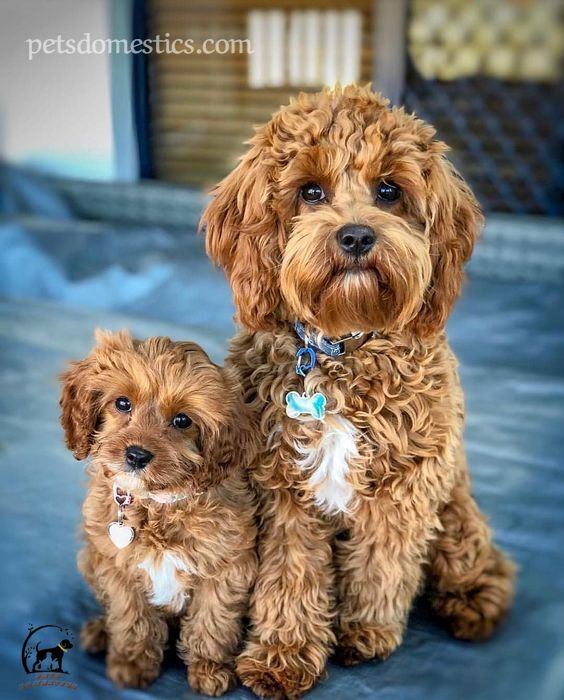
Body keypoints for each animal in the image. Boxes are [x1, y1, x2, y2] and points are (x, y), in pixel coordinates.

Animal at [60, 332, 258, 696]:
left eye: (182, 420)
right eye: (122, 403)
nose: (137, 455)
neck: (156, 504)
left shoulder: (227, 568)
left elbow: (213, 620)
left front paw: (209, 668)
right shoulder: (117, 567)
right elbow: (131, 619)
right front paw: (131, 664)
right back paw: (100, 631)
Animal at [203, 85, 516, 696]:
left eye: (389, 190)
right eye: (310, 191)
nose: (355, 235)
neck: (341, 348)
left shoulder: (406, 484)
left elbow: (381, 564)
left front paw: (364, 632)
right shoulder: (284, 492)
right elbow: (290, 576)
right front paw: (282, 652)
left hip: (456, 509)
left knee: (477, 561)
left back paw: (474, 602)